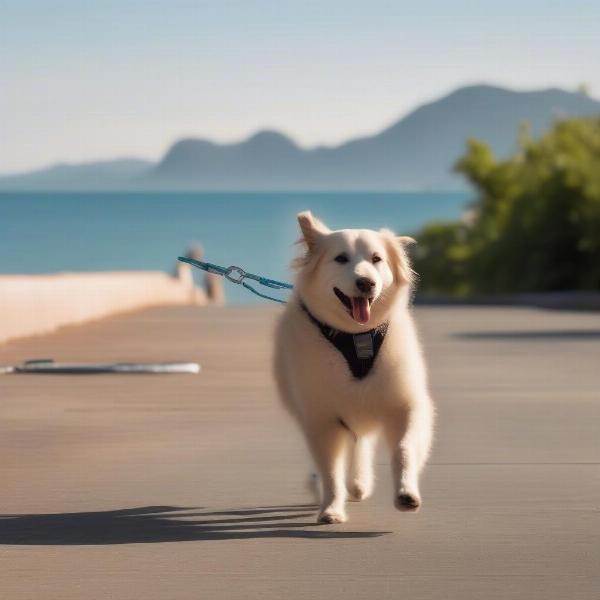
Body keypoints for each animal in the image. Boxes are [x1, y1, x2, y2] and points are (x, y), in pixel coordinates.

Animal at [274, 213, 434, 524]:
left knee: (363, 445)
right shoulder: (322, 418)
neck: (355, 336)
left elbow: (404, 448)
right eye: (341, 258)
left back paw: (360, 484)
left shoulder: (405, 404)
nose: (366, 283)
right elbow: (330, 470)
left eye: (377, 259)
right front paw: (331, 509)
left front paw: (406, 494)